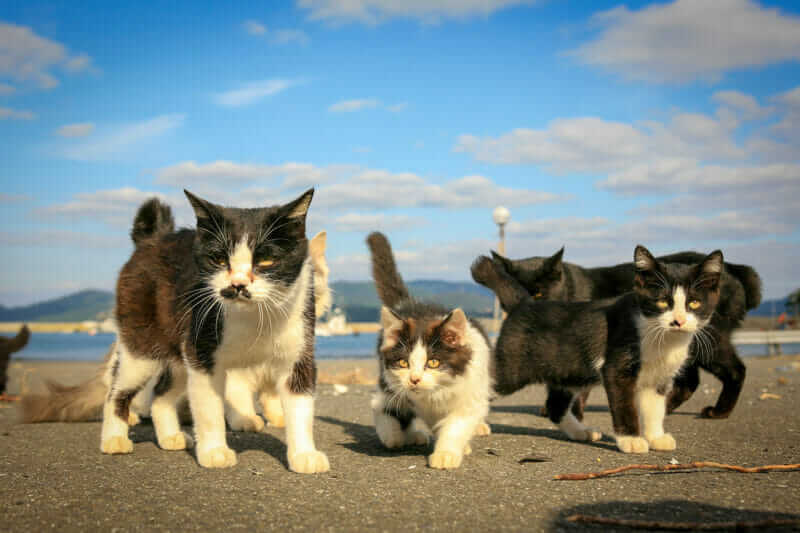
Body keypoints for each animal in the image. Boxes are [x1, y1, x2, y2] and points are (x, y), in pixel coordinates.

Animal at [101, 189, 332, 472]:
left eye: (267, 259)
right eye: (218, 259)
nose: (238, 284)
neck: (253, 318)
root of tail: (151, 240)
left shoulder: (298, 351)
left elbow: (301, 406)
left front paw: (304, 455)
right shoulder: (203, 354)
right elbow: (209, 408)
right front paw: (214, 451)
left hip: (178, 352)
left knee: (161, 394)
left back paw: (170, 437)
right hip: (142, 345)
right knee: (117, 390)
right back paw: (113, 439)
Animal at [368, 231, 490, 468]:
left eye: (433, 362)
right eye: (403, 362)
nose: (414, 379)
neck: (433, 395)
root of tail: (410, 305)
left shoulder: (469, 394)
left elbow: (457, 425)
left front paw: (446, 454)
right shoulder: (391, 384)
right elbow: (382, 408)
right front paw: (392, 435)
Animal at [468, 246, 724, 454]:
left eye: (693, 303)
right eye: (662, 301)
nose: (678, 321)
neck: (661, 338)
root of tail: (524, 304)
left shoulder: (659, 378)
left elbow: (655, 409)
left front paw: (656, 437)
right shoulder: (617, 369)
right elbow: (625, 406)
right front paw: (632, 440)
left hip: (568, 371)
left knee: (555, 406)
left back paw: (581, 432)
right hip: (513, 370)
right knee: (485, 384)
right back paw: (476, 423)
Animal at [484, 247, 760, 418]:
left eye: (540, 292)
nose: (524, 303)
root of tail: (732, 268)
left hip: (708, 342)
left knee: (736, 370)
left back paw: (719, 412)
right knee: (689, 382)